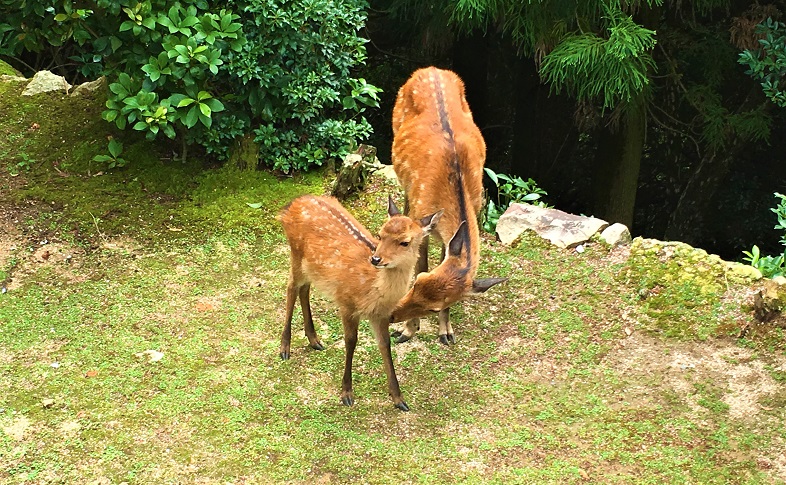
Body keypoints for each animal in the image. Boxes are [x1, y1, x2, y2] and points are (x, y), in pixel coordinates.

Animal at [278, 193, 440, 408]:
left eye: (404, 242)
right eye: (380, 235)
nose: (376, 259)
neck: (371, 289)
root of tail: (291, 204)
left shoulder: (380, 314)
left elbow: (385, 345)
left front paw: (399, 398)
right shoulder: (346, 302)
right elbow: (351, 341)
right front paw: (346, 393)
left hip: (311, 266)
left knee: (304, 290)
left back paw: (314, 340)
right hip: (295, 253)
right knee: (291, 288)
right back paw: (284, 348)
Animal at [388, 65, 506, 344]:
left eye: (435, 307)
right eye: (417, 282)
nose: (392, 316)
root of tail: (430, 69)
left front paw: (445, 331)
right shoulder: (422, 222)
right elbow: (420, 260)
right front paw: (407, 331)